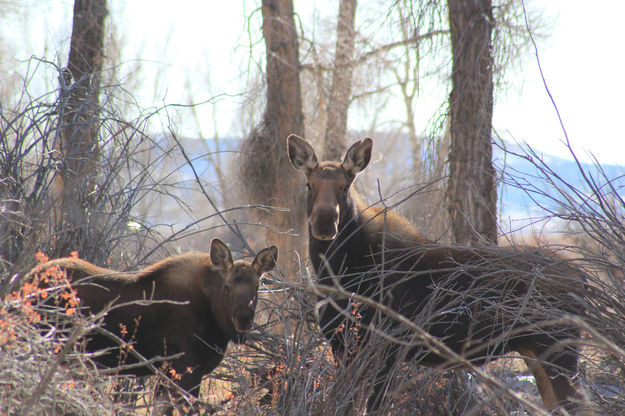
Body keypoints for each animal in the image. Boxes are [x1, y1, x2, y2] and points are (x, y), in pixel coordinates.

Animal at [28, 239, 278, 414]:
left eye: (257, 287)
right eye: (227, 286)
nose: (243, 319)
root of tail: (28, 278)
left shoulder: (168, 375)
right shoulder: (185, 371)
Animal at [286, 135, 588, 414]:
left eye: (345, 186)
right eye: (309, 185)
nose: (325, 222)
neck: (340, 270)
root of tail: (584, 280)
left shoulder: (387, 349)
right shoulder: (344, 348)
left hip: (559, 351)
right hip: (536, 352)